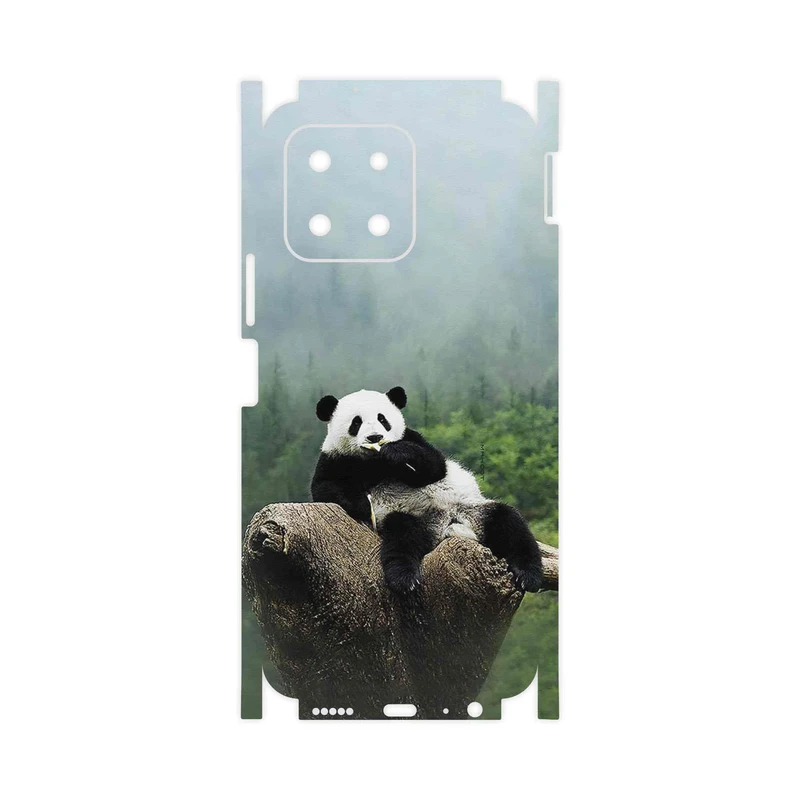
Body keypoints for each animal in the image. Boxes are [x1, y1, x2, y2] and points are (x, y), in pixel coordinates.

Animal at [311, 386, 544, 595]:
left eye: (382, 419)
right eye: (356, 422)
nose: (375, 437)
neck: (374, 461)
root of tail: (447, 524)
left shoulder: (413, 438)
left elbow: (435, 466)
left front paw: (397, 452)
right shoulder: (335, 458)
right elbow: (325, 488)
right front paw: (362, 504)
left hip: (473, 509)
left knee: (509, 523)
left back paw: (528, 575)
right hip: (412, 518)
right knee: (402, 537)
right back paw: (404, 579)